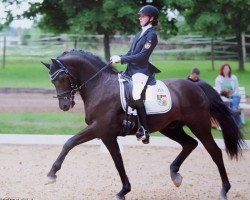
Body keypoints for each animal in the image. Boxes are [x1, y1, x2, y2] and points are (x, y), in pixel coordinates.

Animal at [42, 50, 245, 200]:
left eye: (61, 79)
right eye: (52, 80)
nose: (64, 106)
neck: (100, 85)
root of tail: (195, 86)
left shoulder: (102, 130)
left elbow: (75, 144)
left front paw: (51, 174)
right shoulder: (104, 133)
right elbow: (108, 156)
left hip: (199, 126)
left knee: (215, 152)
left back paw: (224, 190)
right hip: (170, 128)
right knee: (190, 144)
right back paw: (175, 174)